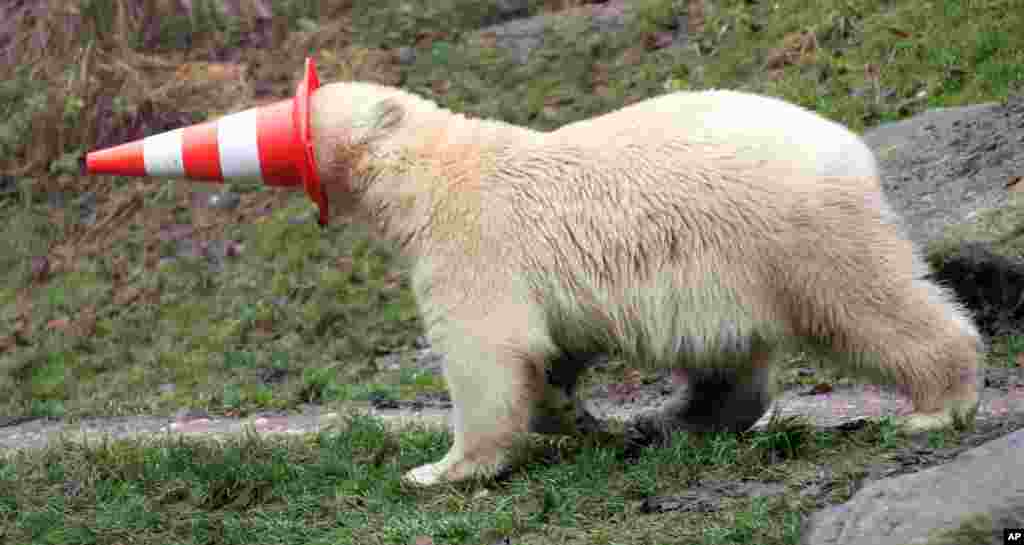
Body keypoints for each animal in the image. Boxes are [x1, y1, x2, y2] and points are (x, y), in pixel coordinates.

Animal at [309, 81, 983, 485]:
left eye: (309, 107)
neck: (432, 173)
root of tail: (851, 148)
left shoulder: (475, 242)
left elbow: (488, 350)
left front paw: (440, 470)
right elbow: (549, 351)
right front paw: (572, 415)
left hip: (796, 234)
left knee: (868, 304)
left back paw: (939, 405)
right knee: (727, 362)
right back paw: (669, 420)